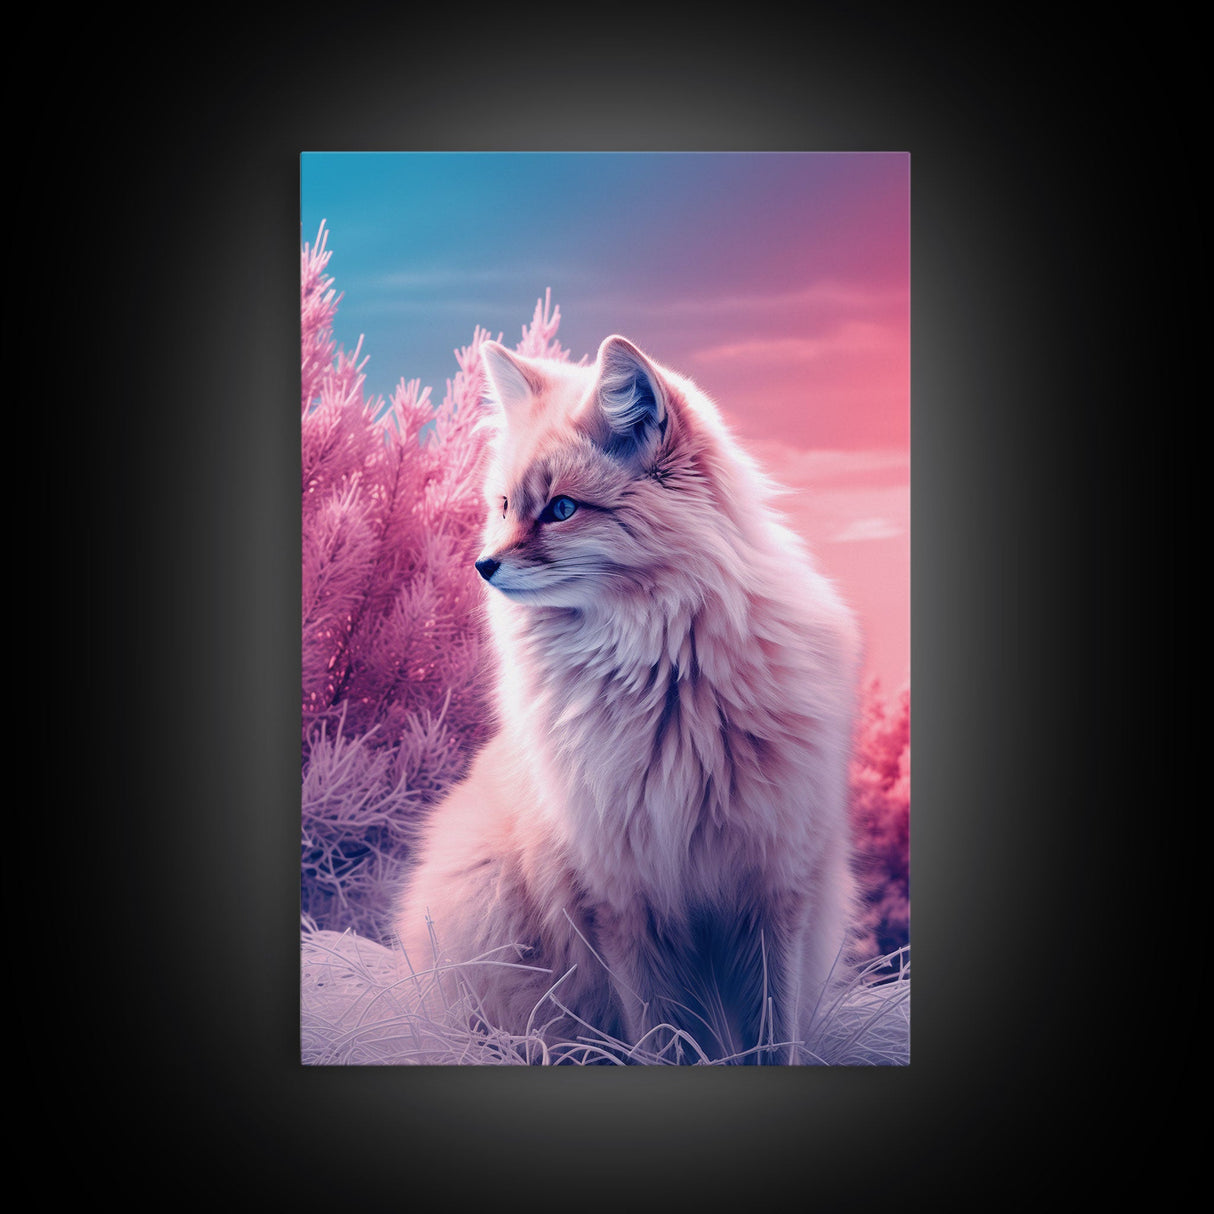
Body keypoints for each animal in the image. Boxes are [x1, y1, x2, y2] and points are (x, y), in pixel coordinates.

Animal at [392, 334, 861, 1063]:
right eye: (504, 507)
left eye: (561, 509)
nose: (484, 566)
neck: (668, 701)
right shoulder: (622, 900)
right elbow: (661, 1038)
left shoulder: (773, 888)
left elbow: (769, 1036)